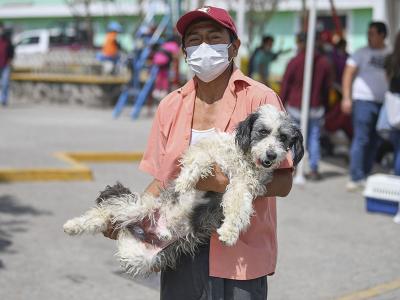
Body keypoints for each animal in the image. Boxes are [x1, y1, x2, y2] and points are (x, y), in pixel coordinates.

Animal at [63, 104, 304, 278]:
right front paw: (185, 182)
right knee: (105, 213)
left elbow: (238, 208)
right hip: (138, 208)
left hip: (142, 257)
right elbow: (200, 159)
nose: (271, 155)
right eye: (263, 132)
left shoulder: (242, 186)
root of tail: (143, 228)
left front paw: (229, 233)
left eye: (283, 137)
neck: (243, 159)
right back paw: (72, 226)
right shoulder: (207, 151)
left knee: (119, 232)